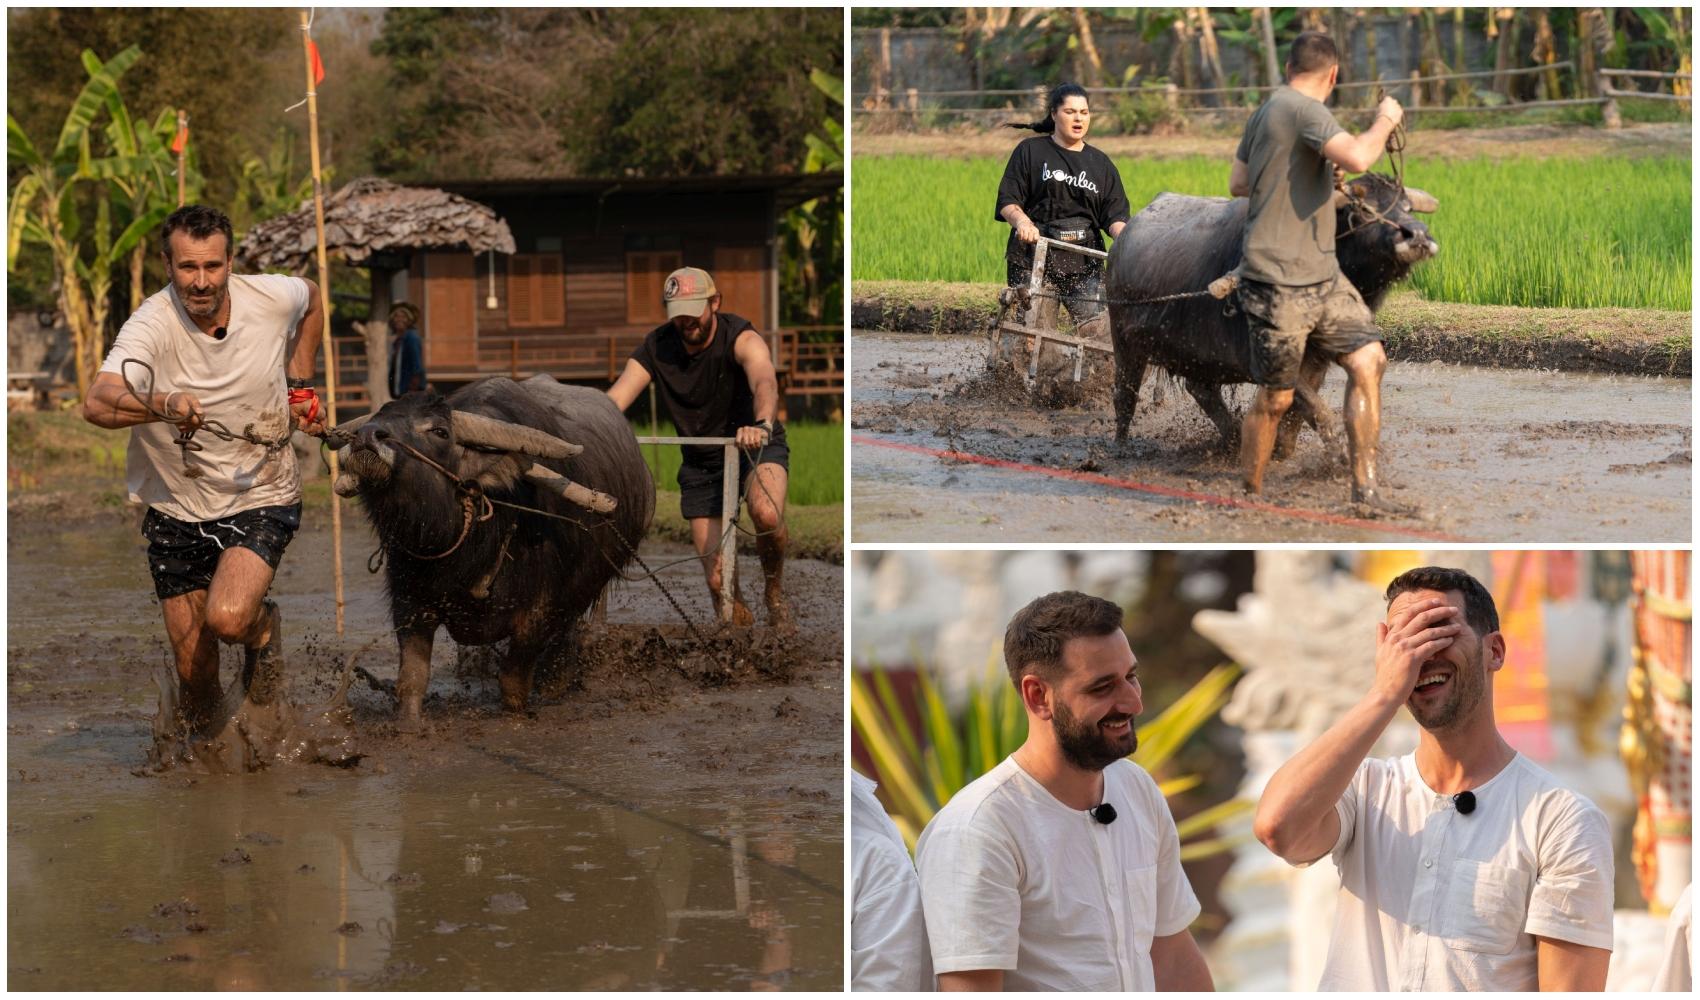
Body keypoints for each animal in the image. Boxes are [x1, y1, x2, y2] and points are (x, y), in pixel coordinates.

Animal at [328, 374, 652, 727]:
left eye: (440, 431)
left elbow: (513, 682)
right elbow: (412, 680)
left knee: (565, 642)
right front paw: (409, 724)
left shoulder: (540, 614)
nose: (367, 435)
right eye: (378, 417)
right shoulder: (410, 605)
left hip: (581, 595)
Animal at [1101, 171, 1434, 452]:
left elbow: (1299, 412)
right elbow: (1316, 409)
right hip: (1126, 343)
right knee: (1125, 394)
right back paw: (1120, 445)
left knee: (1202, 390)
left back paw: (1233, 440)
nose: (1417, 236)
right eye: (1363, 210)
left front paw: (1283, 449)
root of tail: (1121, 242)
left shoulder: (1316, 359)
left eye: (1407, 207)